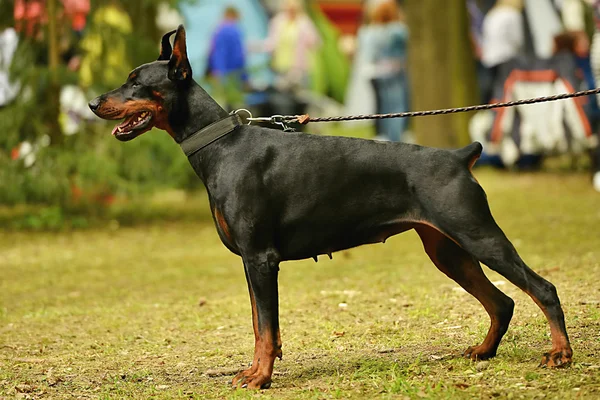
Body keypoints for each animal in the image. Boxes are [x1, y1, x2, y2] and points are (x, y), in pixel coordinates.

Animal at [88, 25, 572, 388]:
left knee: (542, 288)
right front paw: (255, 370)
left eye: (136, 81)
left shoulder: (260, 257)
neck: (220, 144)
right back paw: (485, 351)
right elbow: (260, 323)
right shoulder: (250, 261)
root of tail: (458, 156)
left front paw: (260, 377)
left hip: (478, 234)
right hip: (448, 250)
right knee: (501, 302)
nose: (93, 102)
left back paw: (560, 352)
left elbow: (265, 326)